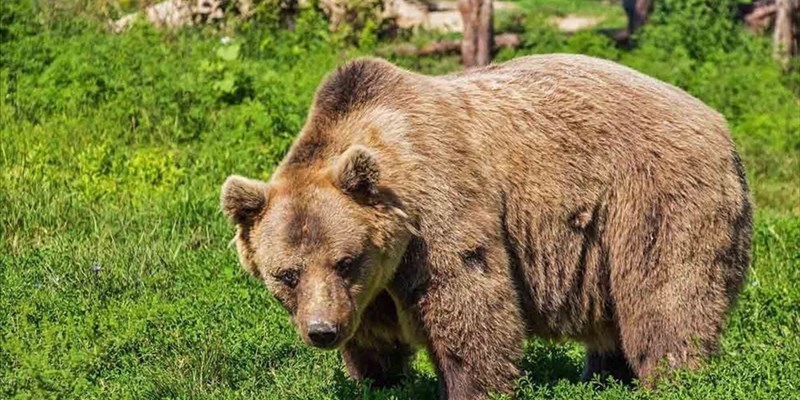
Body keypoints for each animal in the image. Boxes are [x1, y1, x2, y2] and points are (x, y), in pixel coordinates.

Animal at [220, 54, 752, 398]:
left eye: (345, 261)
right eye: (287, 274)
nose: (323, 331)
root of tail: (719, 123)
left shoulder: (438, 210)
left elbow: (469, 302)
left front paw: (469, 385)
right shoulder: (373, 284)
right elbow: (373, 337)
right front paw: (375, 377)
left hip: (654, 197)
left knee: (666, 296)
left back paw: (673, 375)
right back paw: (604, 374)